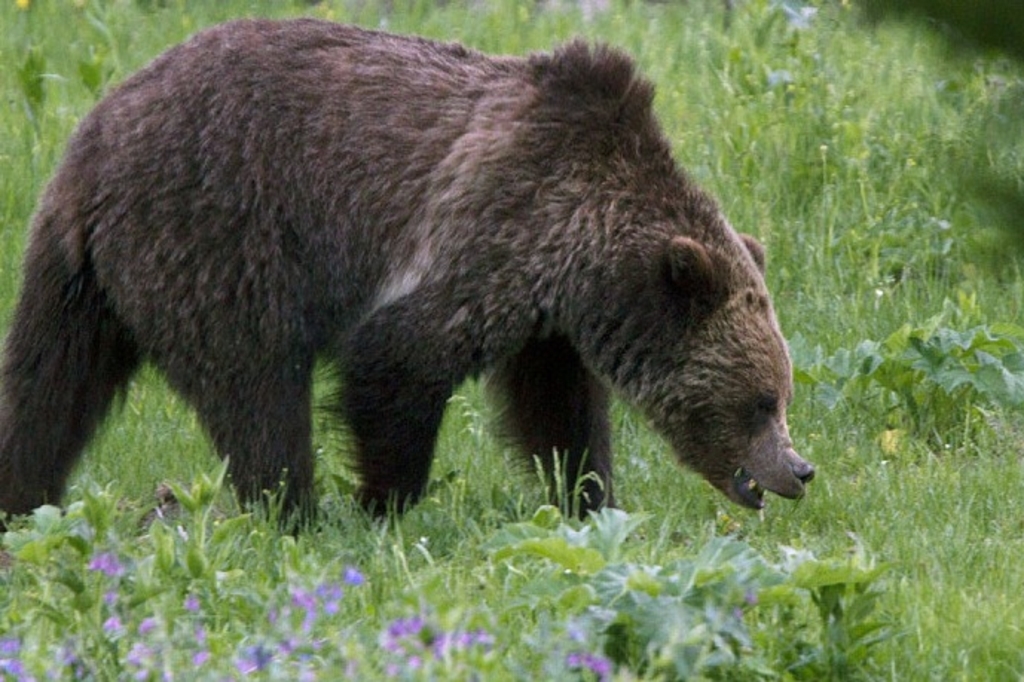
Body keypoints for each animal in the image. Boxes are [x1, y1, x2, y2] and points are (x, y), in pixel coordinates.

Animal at [0, 18, 814, 527]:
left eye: (780, 392)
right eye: (760, 401)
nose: (799, 469)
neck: (583, 250)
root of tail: (92, 143)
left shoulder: (545, 316)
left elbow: (556, 409)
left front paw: (589, 497)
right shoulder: (491, 227)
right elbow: (396, 360)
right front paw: (383, 503)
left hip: (81, 280)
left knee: (47, 389)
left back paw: (22, 499)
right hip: (217, 236)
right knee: (257, 390)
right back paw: (295, 512)